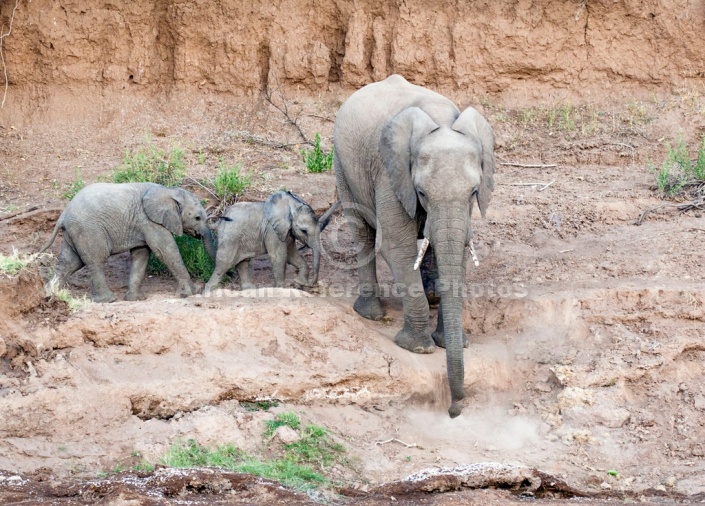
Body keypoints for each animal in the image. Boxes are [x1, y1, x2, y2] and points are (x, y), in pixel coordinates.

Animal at [38, 182, 213, 302]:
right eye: (197, 218)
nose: (203, 286)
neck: (168, 190)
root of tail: (64, 214)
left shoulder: (142, 224)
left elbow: (141, 254)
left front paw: (135, 299)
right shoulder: (149, 221)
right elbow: (165, 250)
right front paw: (192, 292)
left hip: (74, 233)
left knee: (69, 263)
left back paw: (48, 293)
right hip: (88, 231)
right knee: (95, 261)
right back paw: (108, 300)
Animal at [204, 190, 338, 292]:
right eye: (304, 231)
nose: (308, 285)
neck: (291, 204)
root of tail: (218, 221)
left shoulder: (287, 232)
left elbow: (291, 255)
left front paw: (299, 282)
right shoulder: (272, 231)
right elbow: (279, 256)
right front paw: (281, 288)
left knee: (242, 262)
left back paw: (249, 289)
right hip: (229, 236)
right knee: (224, 263)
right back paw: (209, 291)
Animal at [332, 73, 492, 418]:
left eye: (474, 192)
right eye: (421, 192)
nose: (454, 409)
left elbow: (457, 249)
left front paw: (448, 341)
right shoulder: (390, 171)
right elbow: (396, 246)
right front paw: (417, 347)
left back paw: (433, 297)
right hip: (342, 164)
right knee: (361, 229)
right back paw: (371, 313)